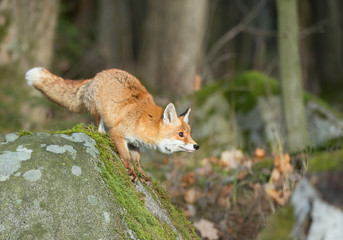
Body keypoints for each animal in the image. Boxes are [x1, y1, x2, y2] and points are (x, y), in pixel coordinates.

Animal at [25, 66, 200, 183]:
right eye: (181, 134)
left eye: (190, 133)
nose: (197, 146)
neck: (145, 121)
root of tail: (97, 75)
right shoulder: (118, 133)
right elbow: (126, 157)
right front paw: (130, 172)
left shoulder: (136, 143)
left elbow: (137, 161)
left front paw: (142, 174)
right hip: (98, 110)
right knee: (99, 124)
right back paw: (101, 133)